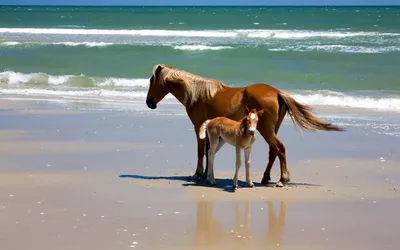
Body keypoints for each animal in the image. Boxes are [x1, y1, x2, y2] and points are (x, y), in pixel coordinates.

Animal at [146, 63, 344, 187]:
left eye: (150, 80)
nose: (149, 103)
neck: (199, 95)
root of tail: (277, 92)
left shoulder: (198, 128)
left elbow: (201, 151)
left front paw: (198, 173)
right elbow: (209, 151)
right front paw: (207, 174)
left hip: (266, 130)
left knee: (280, 149)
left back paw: (282, 179)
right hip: (271, 130)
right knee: (273, 151)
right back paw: (266, 178)